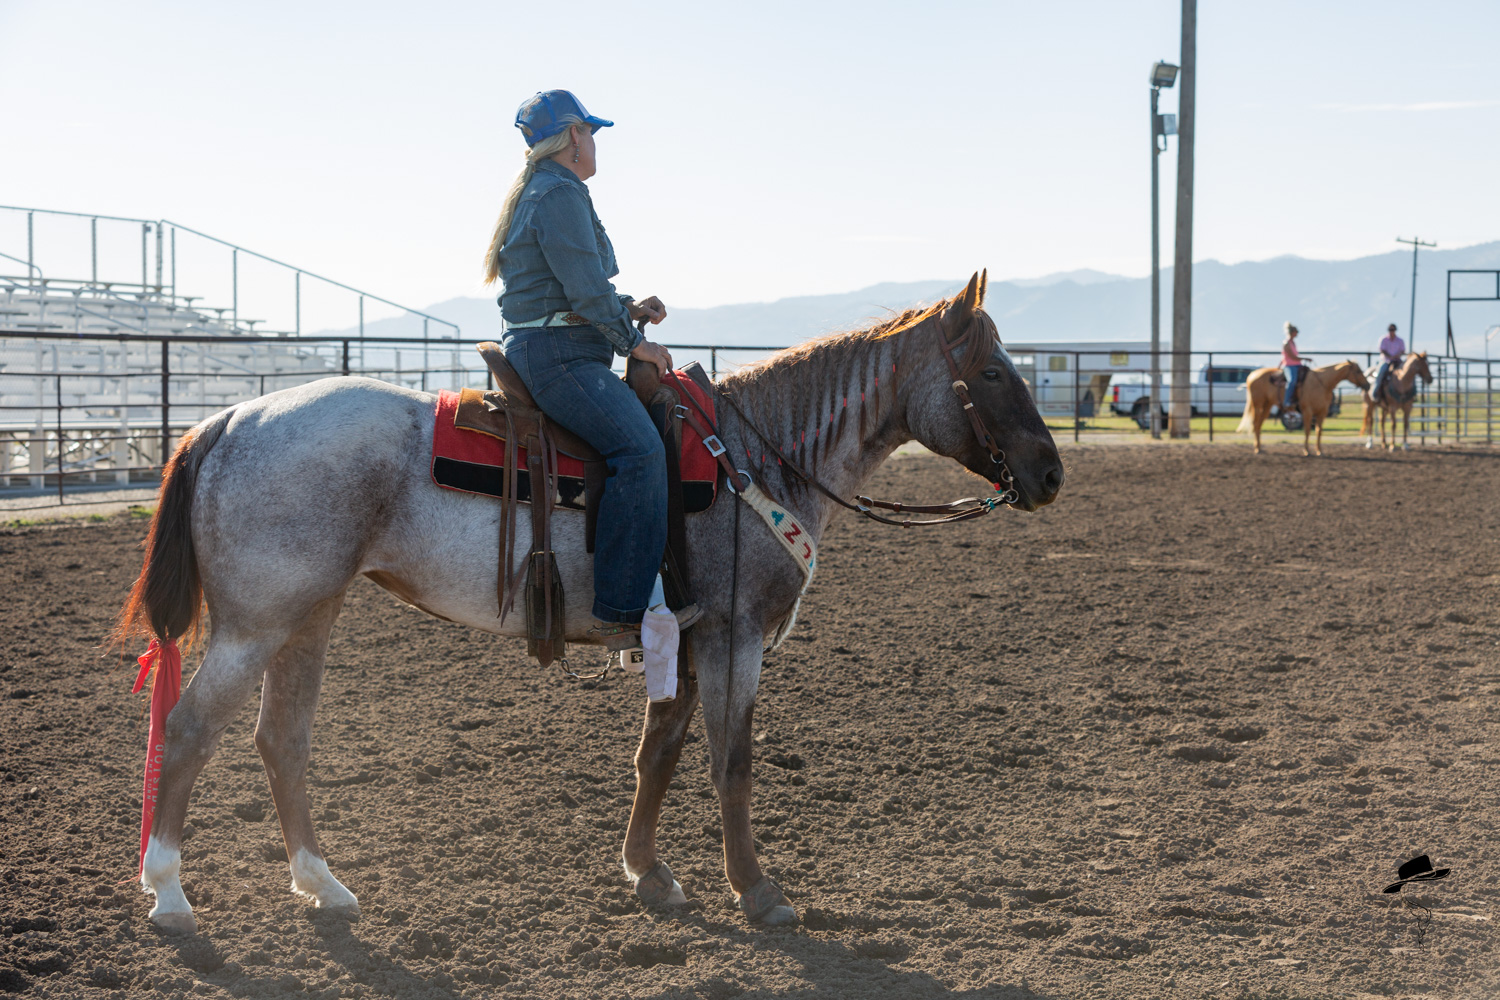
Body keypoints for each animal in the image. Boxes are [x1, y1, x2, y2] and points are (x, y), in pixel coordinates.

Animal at [113, 272, 1064, 935]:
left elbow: (660, 753)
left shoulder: (685, 634)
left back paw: (323, 885)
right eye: (991, 370)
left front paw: (648, 874)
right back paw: (170, 895)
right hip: (255, 625)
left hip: (308, 618)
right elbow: (731, 763)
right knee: (191, 730)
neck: (756, 456)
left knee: (281, 740)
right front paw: (758, 893)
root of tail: (227, 421)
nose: (1051, 474)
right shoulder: (734, 636)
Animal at [1235, 360, 1370, 457]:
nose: (1367, 385)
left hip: (1267, 406)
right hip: (1258, 405)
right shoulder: (1307, 411)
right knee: (1255, 424)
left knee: (1259, 425)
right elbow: (1307, 431)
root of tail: (1251, 375)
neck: (1322, 384)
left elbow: (1319, 431)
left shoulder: (1322, 412)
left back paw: (1259, 448)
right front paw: (1306, 451)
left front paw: (1319, 451)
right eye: (1358, 371)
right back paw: (1257, 449)